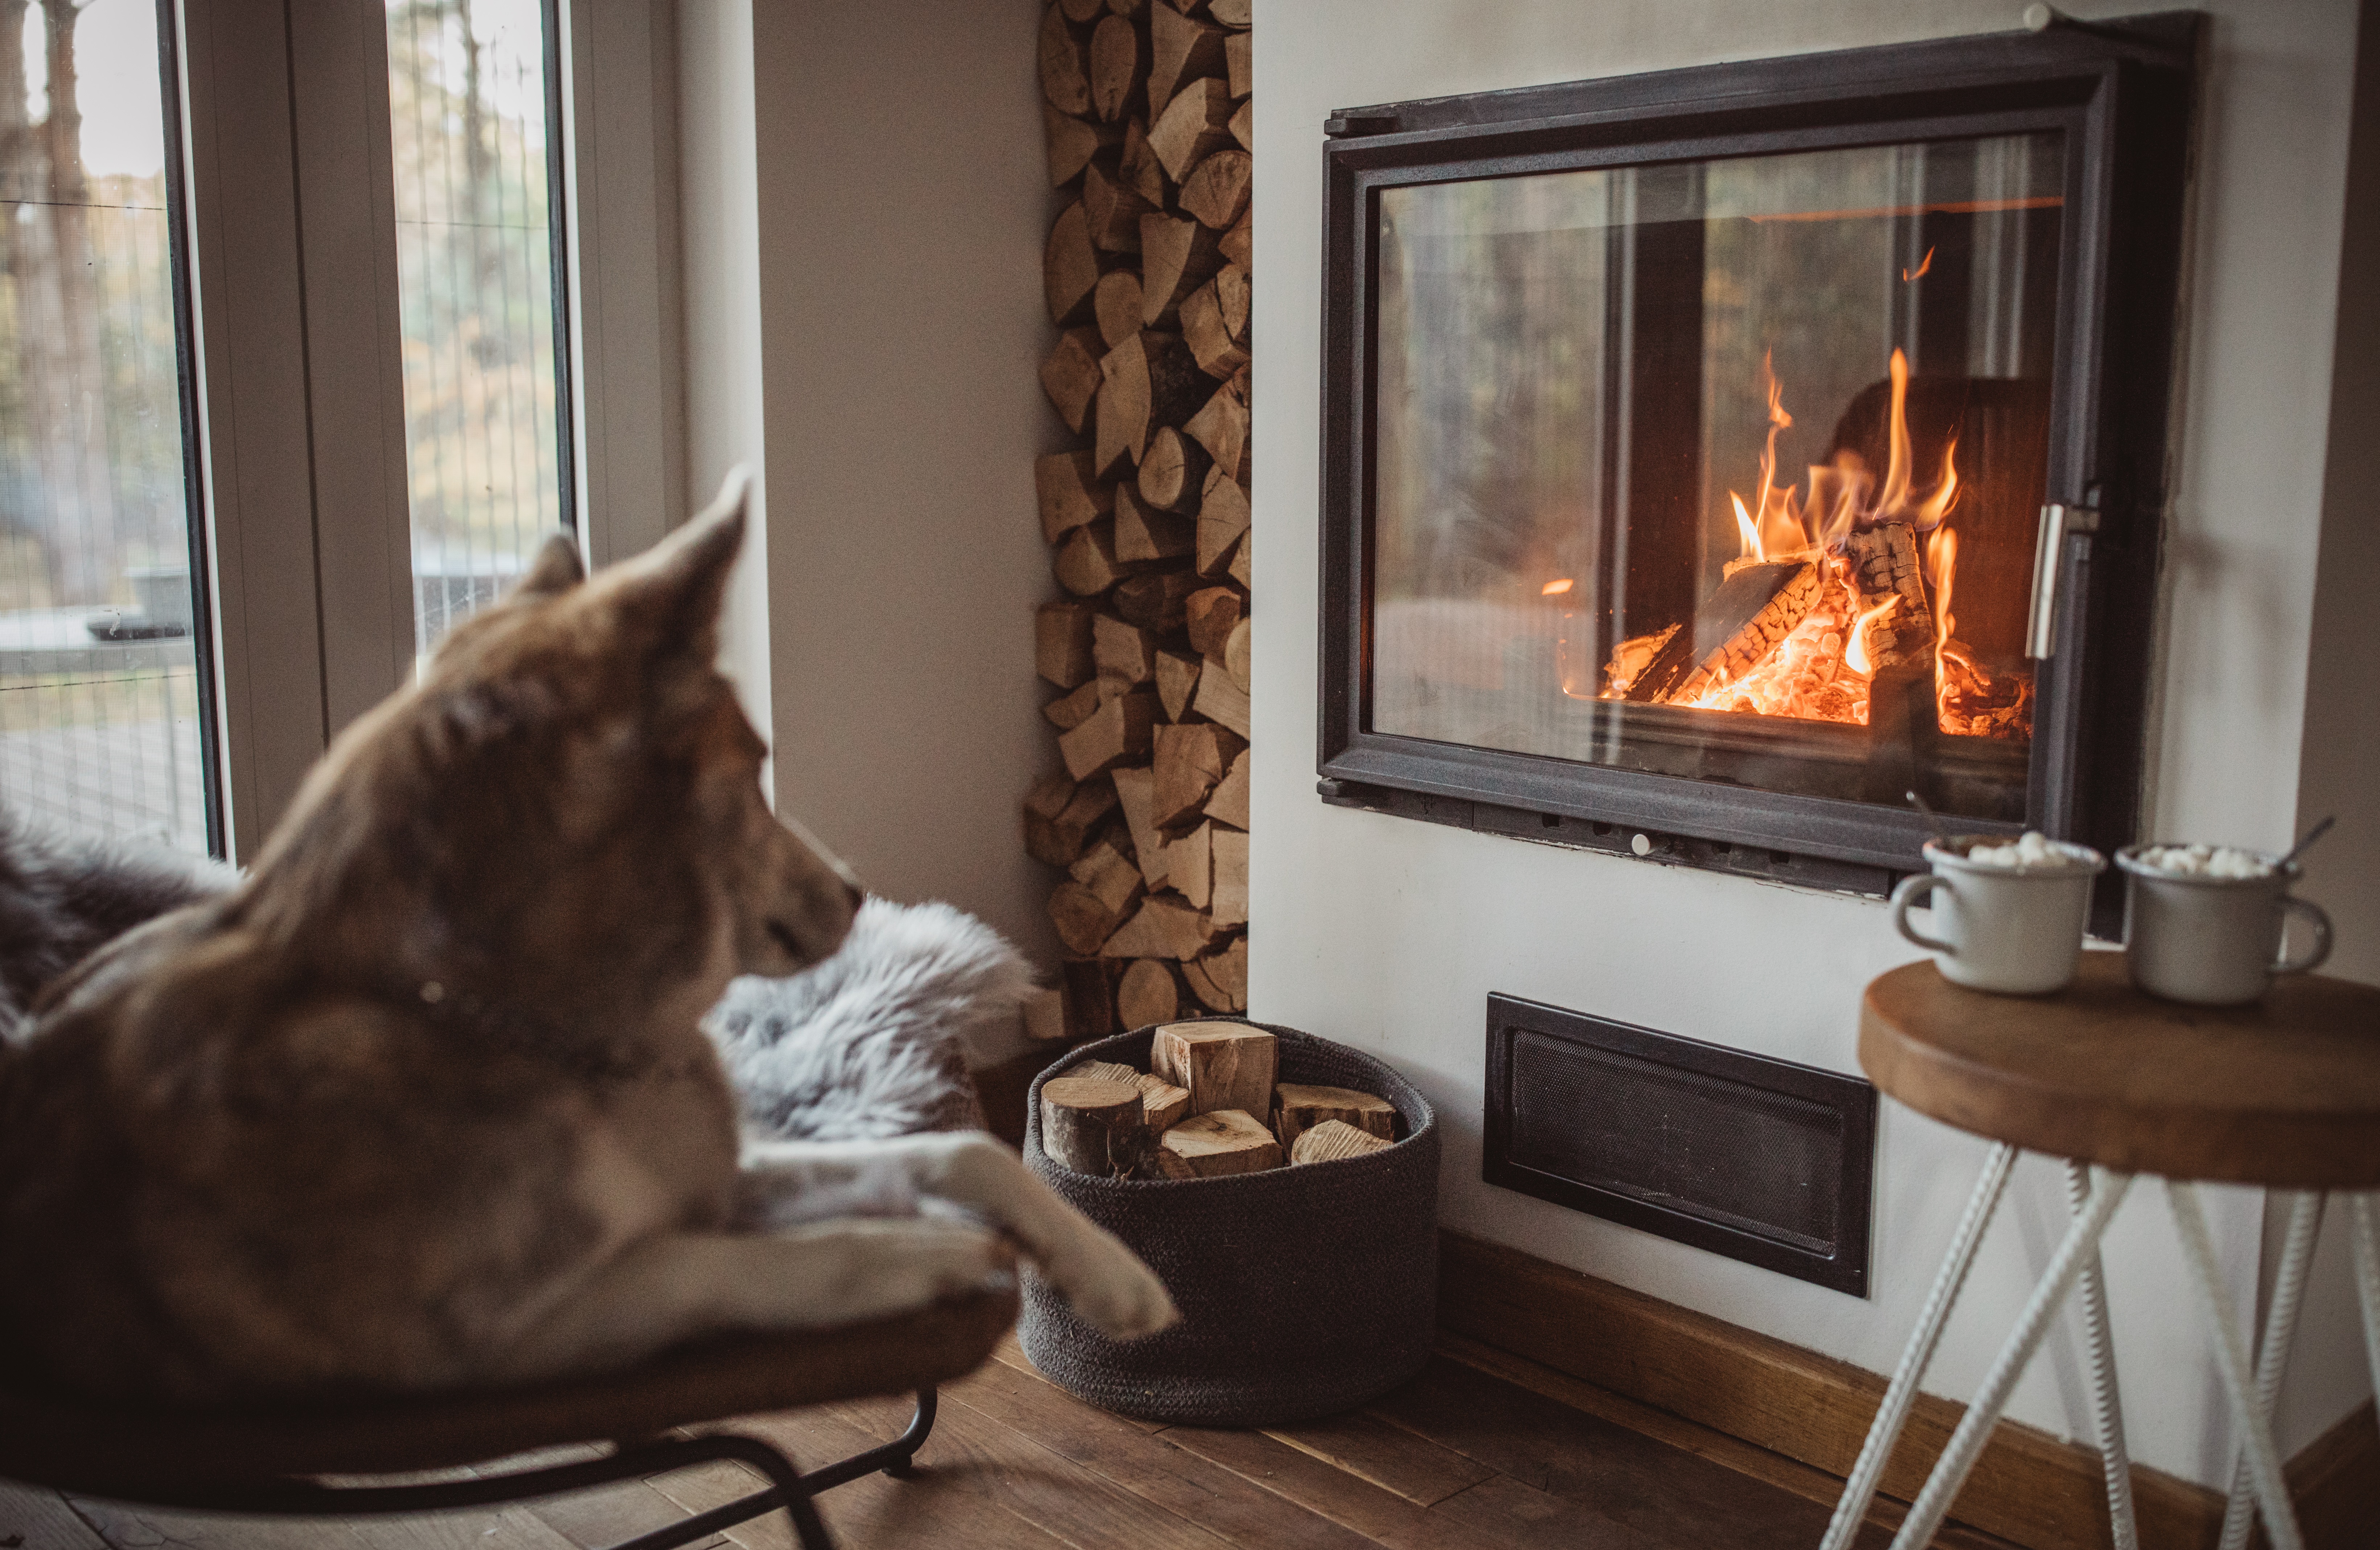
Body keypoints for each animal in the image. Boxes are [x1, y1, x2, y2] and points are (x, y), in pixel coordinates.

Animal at [0, 474, 1176, 1409]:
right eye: (756, 764)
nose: (853, 891)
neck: (555, 1045)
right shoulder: (480, 1343)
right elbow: (721, 1266)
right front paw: (921, 1247)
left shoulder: (722, 1174)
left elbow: (960, 1148)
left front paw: (1109, 1271)